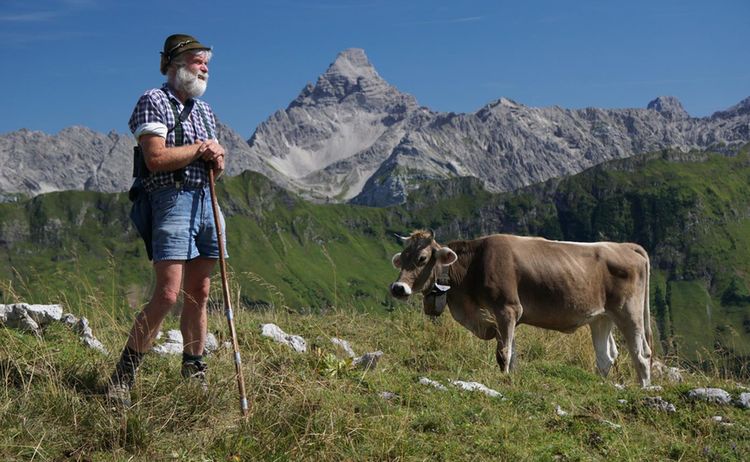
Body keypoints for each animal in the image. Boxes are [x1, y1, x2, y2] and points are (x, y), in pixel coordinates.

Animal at [390, 230, 656, 386]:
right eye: (402, 258)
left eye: (422, 258)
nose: (398, 288)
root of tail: (623, 246)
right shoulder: (503, 317)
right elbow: (513, 352)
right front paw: (513, 377)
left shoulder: (507, 309)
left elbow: (503, 352)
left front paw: (505, 379)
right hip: (601, 317)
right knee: (606, 356)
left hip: (629, 312)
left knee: (641, 354)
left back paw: (643, 390)